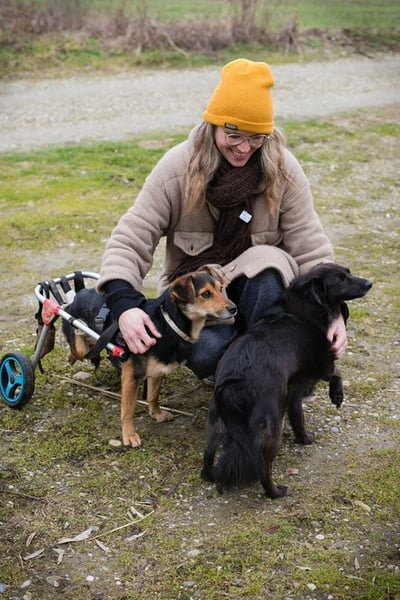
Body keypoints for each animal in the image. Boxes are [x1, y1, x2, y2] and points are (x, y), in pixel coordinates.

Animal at [62, 266, 237, 447]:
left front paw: (157, 414)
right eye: (205, 294)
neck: (168, 324)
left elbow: (153, 395)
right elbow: (129, 409)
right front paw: (129, 435)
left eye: (220, 289)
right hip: (80, 344)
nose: (234, 308)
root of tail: (78, 295)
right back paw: (72, 353)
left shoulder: (158, 369)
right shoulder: (131, 375)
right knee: (78, 347)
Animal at [201, 263, 372, 499]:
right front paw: (337, 395)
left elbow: (298, 417)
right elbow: (336, 372)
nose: (369, 283)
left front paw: (304, 438)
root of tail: (234, 383)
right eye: (340, 280)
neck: (304, 305)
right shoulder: (321, 363)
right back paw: (275, 492)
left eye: (348, 272)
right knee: (262, 465)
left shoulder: (293, 394)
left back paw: (209, 476)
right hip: (271, 425)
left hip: (216, 422)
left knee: (208, 453)